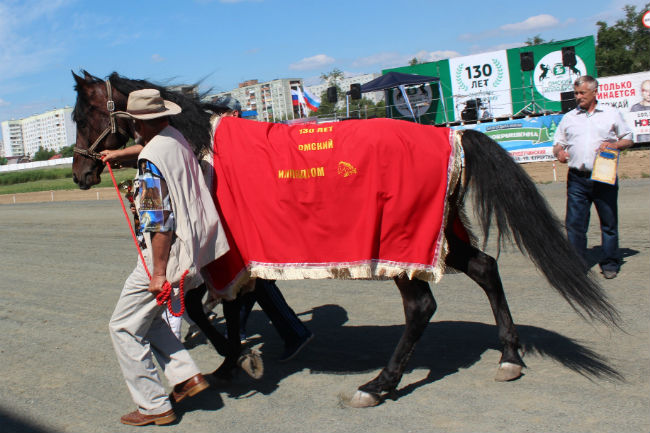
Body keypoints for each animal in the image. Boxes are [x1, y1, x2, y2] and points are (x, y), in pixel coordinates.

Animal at [72, 70, 616, 404]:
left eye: (81, 116)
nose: (80, 172)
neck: (201, 149)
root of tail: (453, 133)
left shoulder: (227, 253)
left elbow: (215, 307)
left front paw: (235, 356)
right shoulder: (247, 258)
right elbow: (233, 303)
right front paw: (238, 354)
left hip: (402, 246)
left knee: (421, 308)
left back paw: (378, 385)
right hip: (439, 239)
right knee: (485, 268)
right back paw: (508, 355)